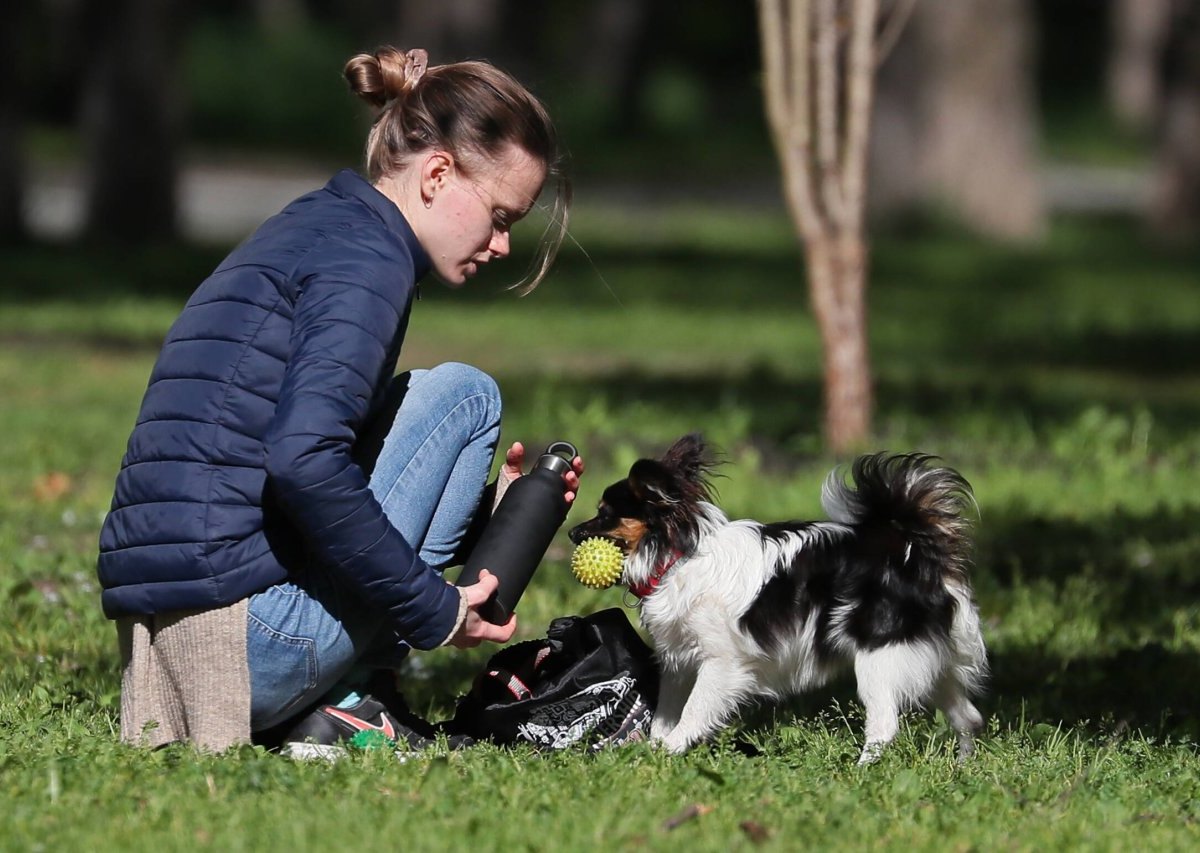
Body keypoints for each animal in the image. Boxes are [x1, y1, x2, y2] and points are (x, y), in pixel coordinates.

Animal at [566, 436, 988, 763]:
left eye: (604, 515)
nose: (571, 533)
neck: (677, 557)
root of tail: (914, 552)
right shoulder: (678, 661)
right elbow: (665, 713)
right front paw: (654, 748)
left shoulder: (721, 664)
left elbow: (693, 711)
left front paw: (670, 750)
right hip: (933, 664)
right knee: (968, 717)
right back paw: (962, 768)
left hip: (879, 659)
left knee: (885, 725)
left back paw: (861, 772)